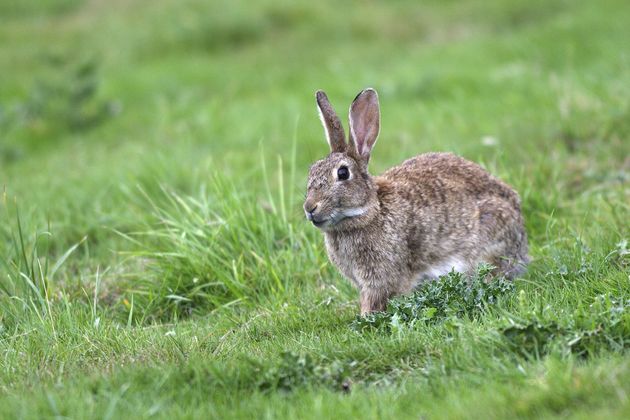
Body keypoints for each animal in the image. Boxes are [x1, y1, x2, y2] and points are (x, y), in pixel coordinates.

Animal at [304, 88, 532, 316]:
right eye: (312, 171)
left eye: (343, 173)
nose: (309, 208)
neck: (369, 212)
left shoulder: (381, 278)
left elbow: (374, 300)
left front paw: (364, 318)